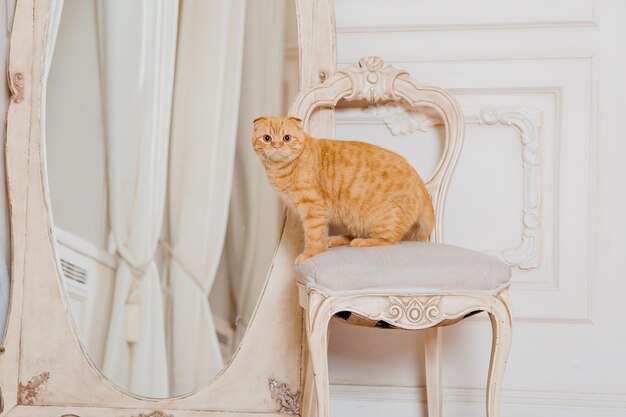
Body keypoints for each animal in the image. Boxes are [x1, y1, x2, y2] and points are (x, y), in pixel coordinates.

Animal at [251, 115, 432, 264]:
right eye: (267, 138)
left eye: (287, 138)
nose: (276, 146)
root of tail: (423, 188)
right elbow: (320, 233)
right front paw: (322, 245)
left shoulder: (312, 208)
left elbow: (313, 236)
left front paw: (310, 254)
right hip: (354, 219)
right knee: (355, 233)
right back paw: (335, 239)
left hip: (381, 220)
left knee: (391, 239)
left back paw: (363, 242)